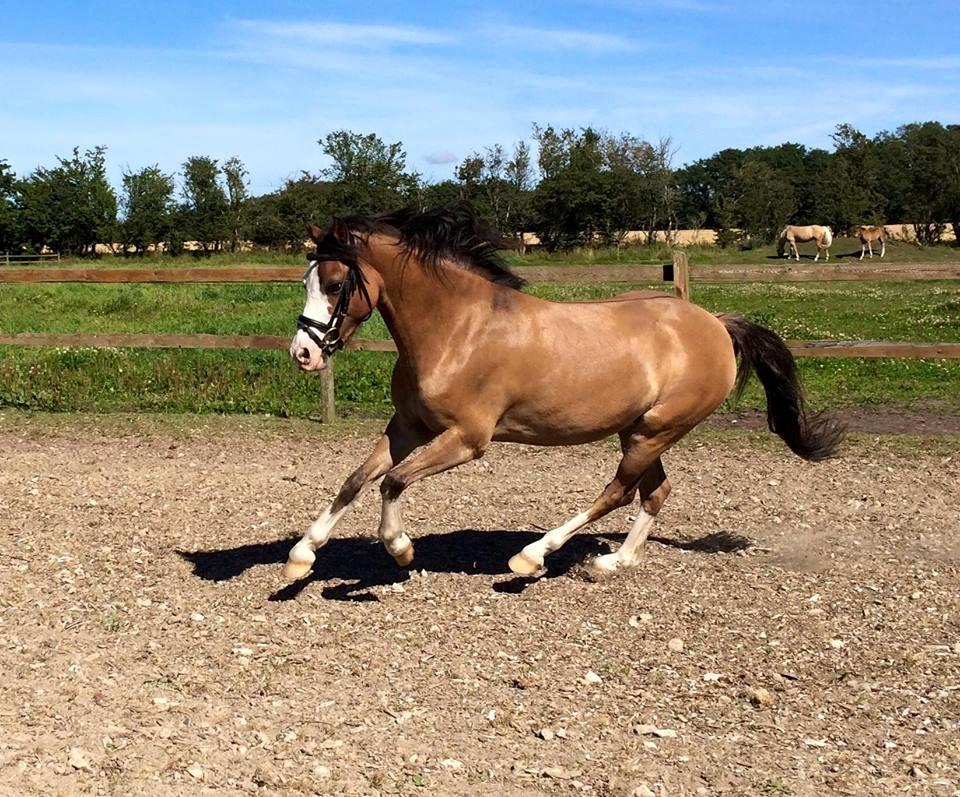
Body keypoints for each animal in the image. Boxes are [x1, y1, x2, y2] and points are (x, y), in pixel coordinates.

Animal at [283, 206, 844, 581]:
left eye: (334, 283)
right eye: (308, 280)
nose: (302, 354)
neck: (458, 329)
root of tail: (715, 324)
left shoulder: (467, 439)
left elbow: (393, 481)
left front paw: (400, 549)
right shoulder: (409, 425)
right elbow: (356, 479)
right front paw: (300, 557)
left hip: (655, 430)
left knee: (618, 492)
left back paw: (532, 556)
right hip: (639, 429)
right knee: (654, 492)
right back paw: (613, 561)